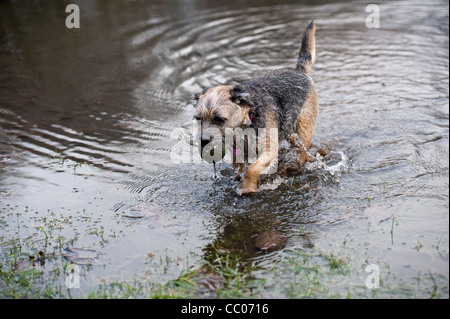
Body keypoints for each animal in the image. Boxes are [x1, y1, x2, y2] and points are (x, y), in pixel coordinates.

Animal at [192, 20, 316, 195]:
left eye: (220, 119)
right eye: (198, 119)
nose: (203, 140)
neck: (248, 122)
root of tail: (299, 70)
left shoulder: (269, 152)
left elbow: (252, 168)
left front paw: (247, 188)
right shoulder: (237, 154)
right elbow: (238, 169)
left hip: (303, 131)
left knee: (302, 152)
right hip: (289, 131)